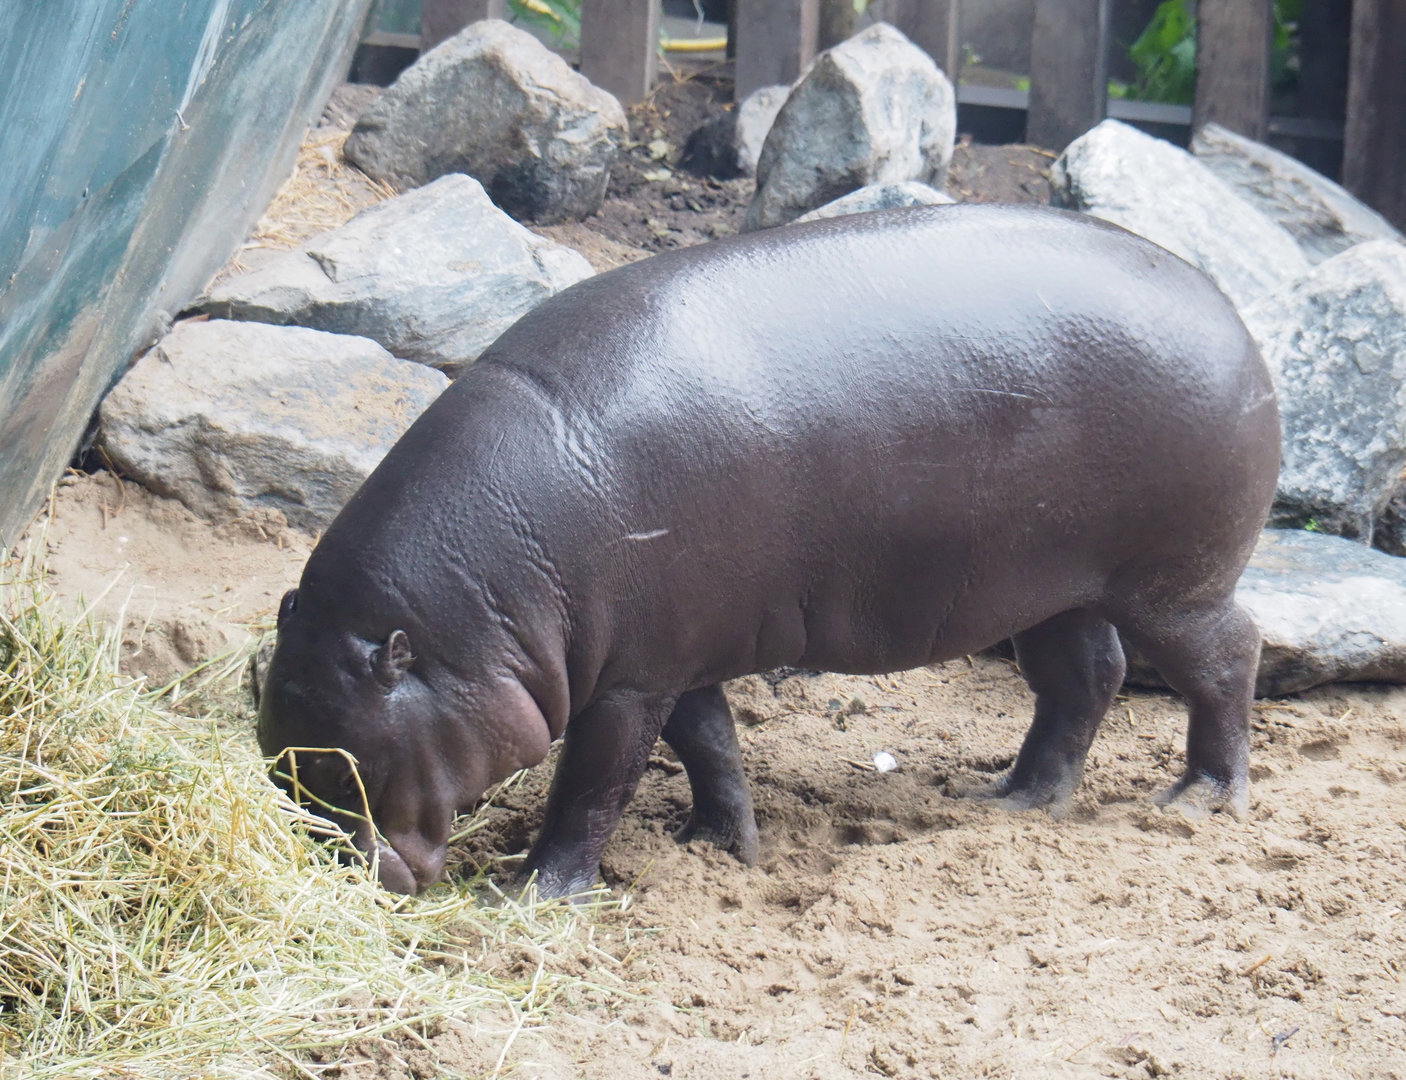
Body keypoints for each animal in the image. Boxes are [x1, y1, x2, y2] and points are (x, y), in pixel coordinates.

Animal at [256, 204, 1280, 899]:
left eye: (344, 764)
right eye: (273, 746)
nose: (333, 872)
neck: (477, 608)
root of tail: (1230, 312)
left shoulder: (626, 682)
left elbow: (592, 788)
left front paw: (533, 892)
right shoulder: (669, 654)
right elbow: (709, 743)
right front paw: (717, 846)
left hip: (1172, 581)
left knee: (1228, 657)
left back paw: (1200, 801)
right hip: (1048, 584)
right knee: (1083, 678)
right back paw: (1009, 801)